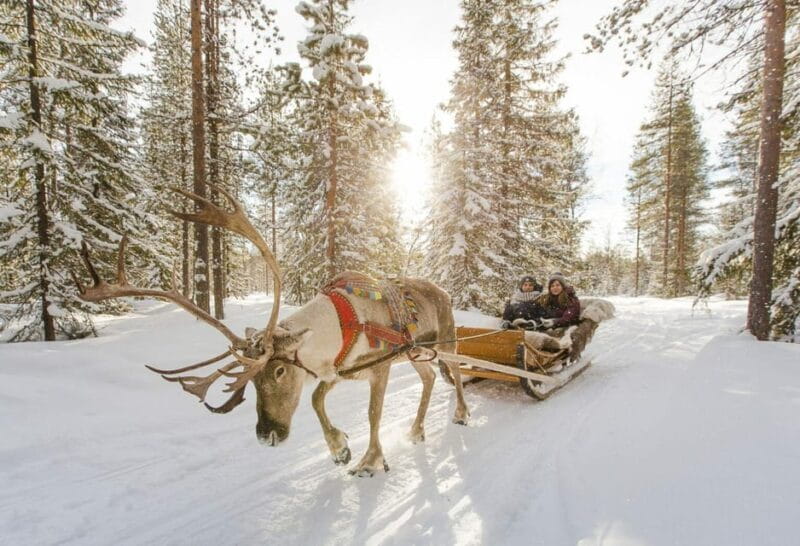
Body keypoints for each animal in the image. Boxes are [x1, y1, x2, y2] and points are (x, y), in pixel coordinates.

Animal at [75, 186, 470, 477]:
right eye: (249, 380)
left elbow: (373, 414)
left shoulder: (379, 366)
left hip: (447, 339)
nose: (267, 436)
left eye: (278, 370)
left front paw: (369, 461)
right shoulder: (338, 369)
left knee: (456, 373)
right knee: (430, 378)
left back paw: (462, 414)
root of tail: (444, 290)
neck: (341, 325)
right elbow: (315, 399)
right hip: (418, 353)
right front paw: (339, 447)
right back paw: (416, 430)